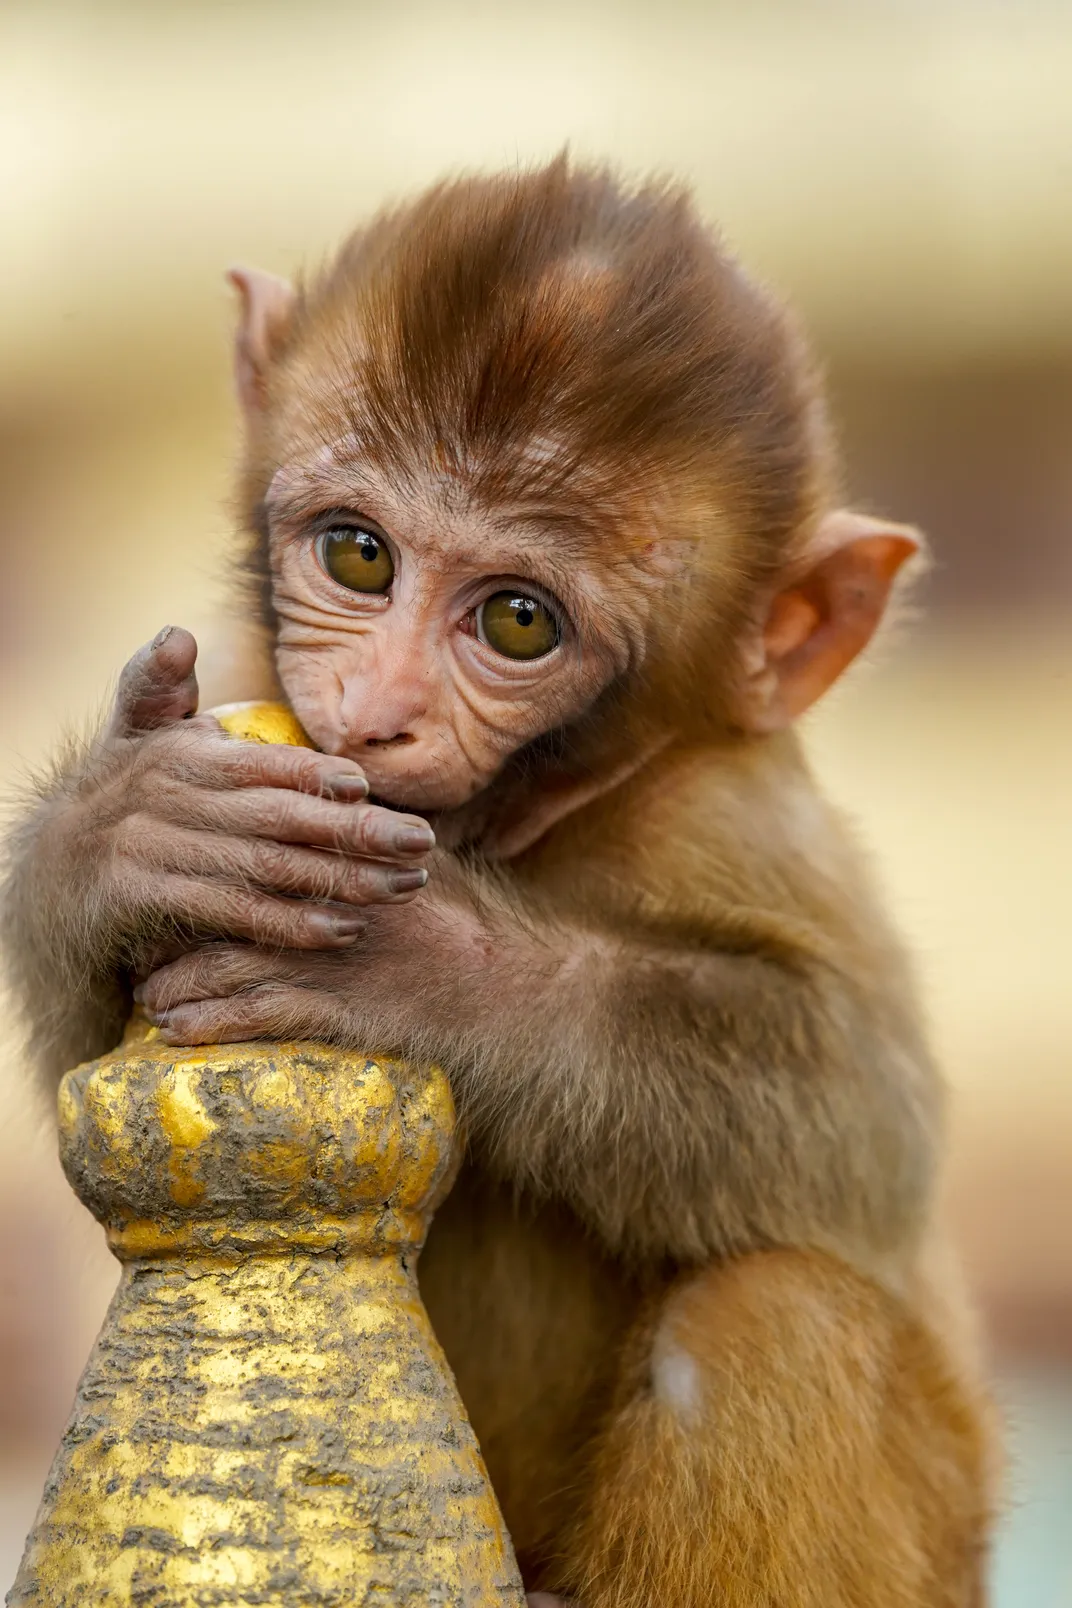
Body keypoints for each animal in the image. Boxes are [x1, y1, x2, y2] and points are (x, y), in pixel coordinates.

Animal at [1, 158, 997, 1606]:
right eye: (359, 555)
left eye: (519, 622)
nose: (375, 712)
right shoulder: (243, 671)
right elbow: (105, 1057)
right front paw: (128, 835)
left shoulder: (729, 813)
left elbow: (868, 1122)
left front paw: (428, 969)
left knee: (772, 1311)